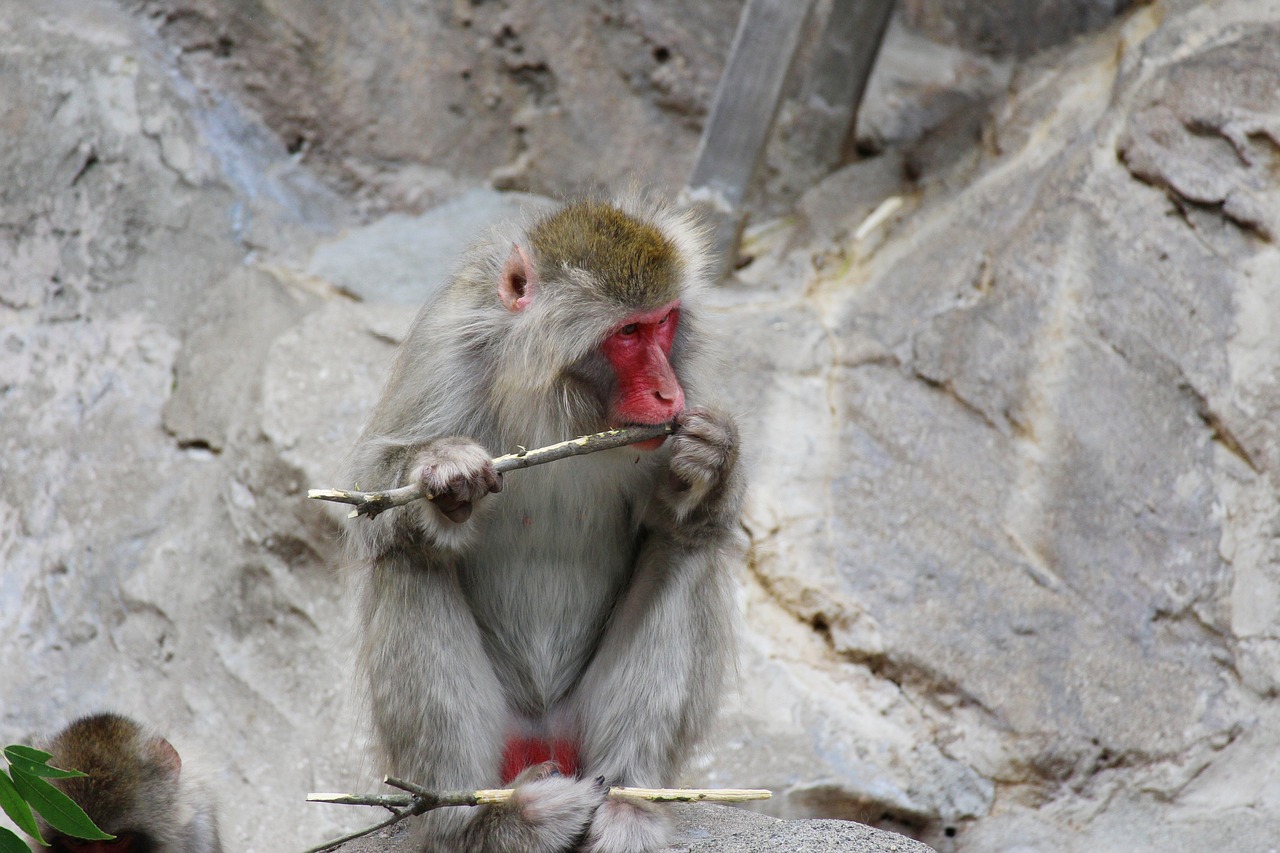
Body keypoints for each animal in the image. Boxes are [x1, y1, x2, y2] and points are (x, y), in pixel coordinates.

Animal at [345, 194, 747, 850]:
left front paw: (713, 457)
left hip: (583, 728)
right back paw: (481, 822)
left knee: (687, 549)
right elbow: (374, 497)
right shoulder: (447, 350)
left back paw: (630, 803)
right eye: (628, 333)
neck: (557, 399)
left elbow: (677, 519)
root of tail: (544, 739)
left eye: (663, 322)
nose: (670, 395)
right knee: (409, 561)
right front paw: (444, 473)